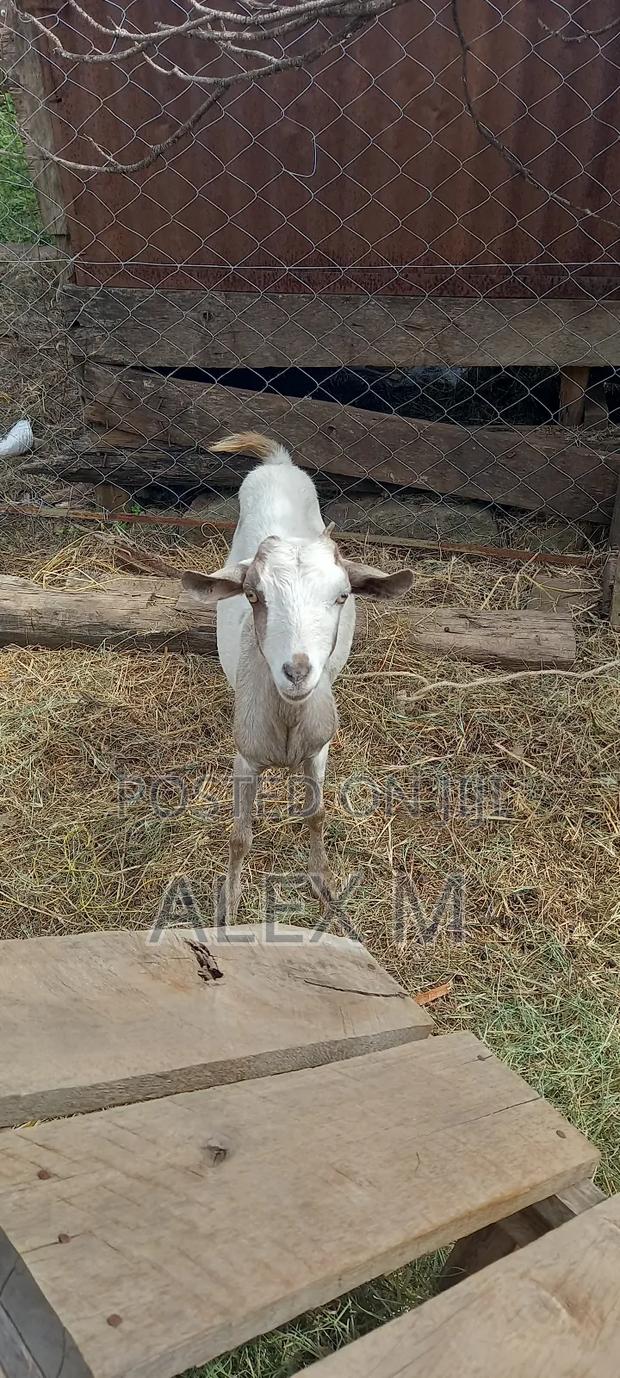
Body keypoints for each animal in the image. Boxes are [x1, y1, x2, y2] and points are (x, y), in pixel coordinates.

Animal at [181, 432, 413, 922]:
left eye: (343, 595)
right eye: (252, 595)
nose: (297, 671)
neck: (287, 720)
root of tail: (278, 462)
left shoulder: (318, 749)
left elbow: (316, 814)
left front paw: (323, 886)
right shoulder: (245, 756)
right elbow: (239, 835)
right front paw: (228, 906)